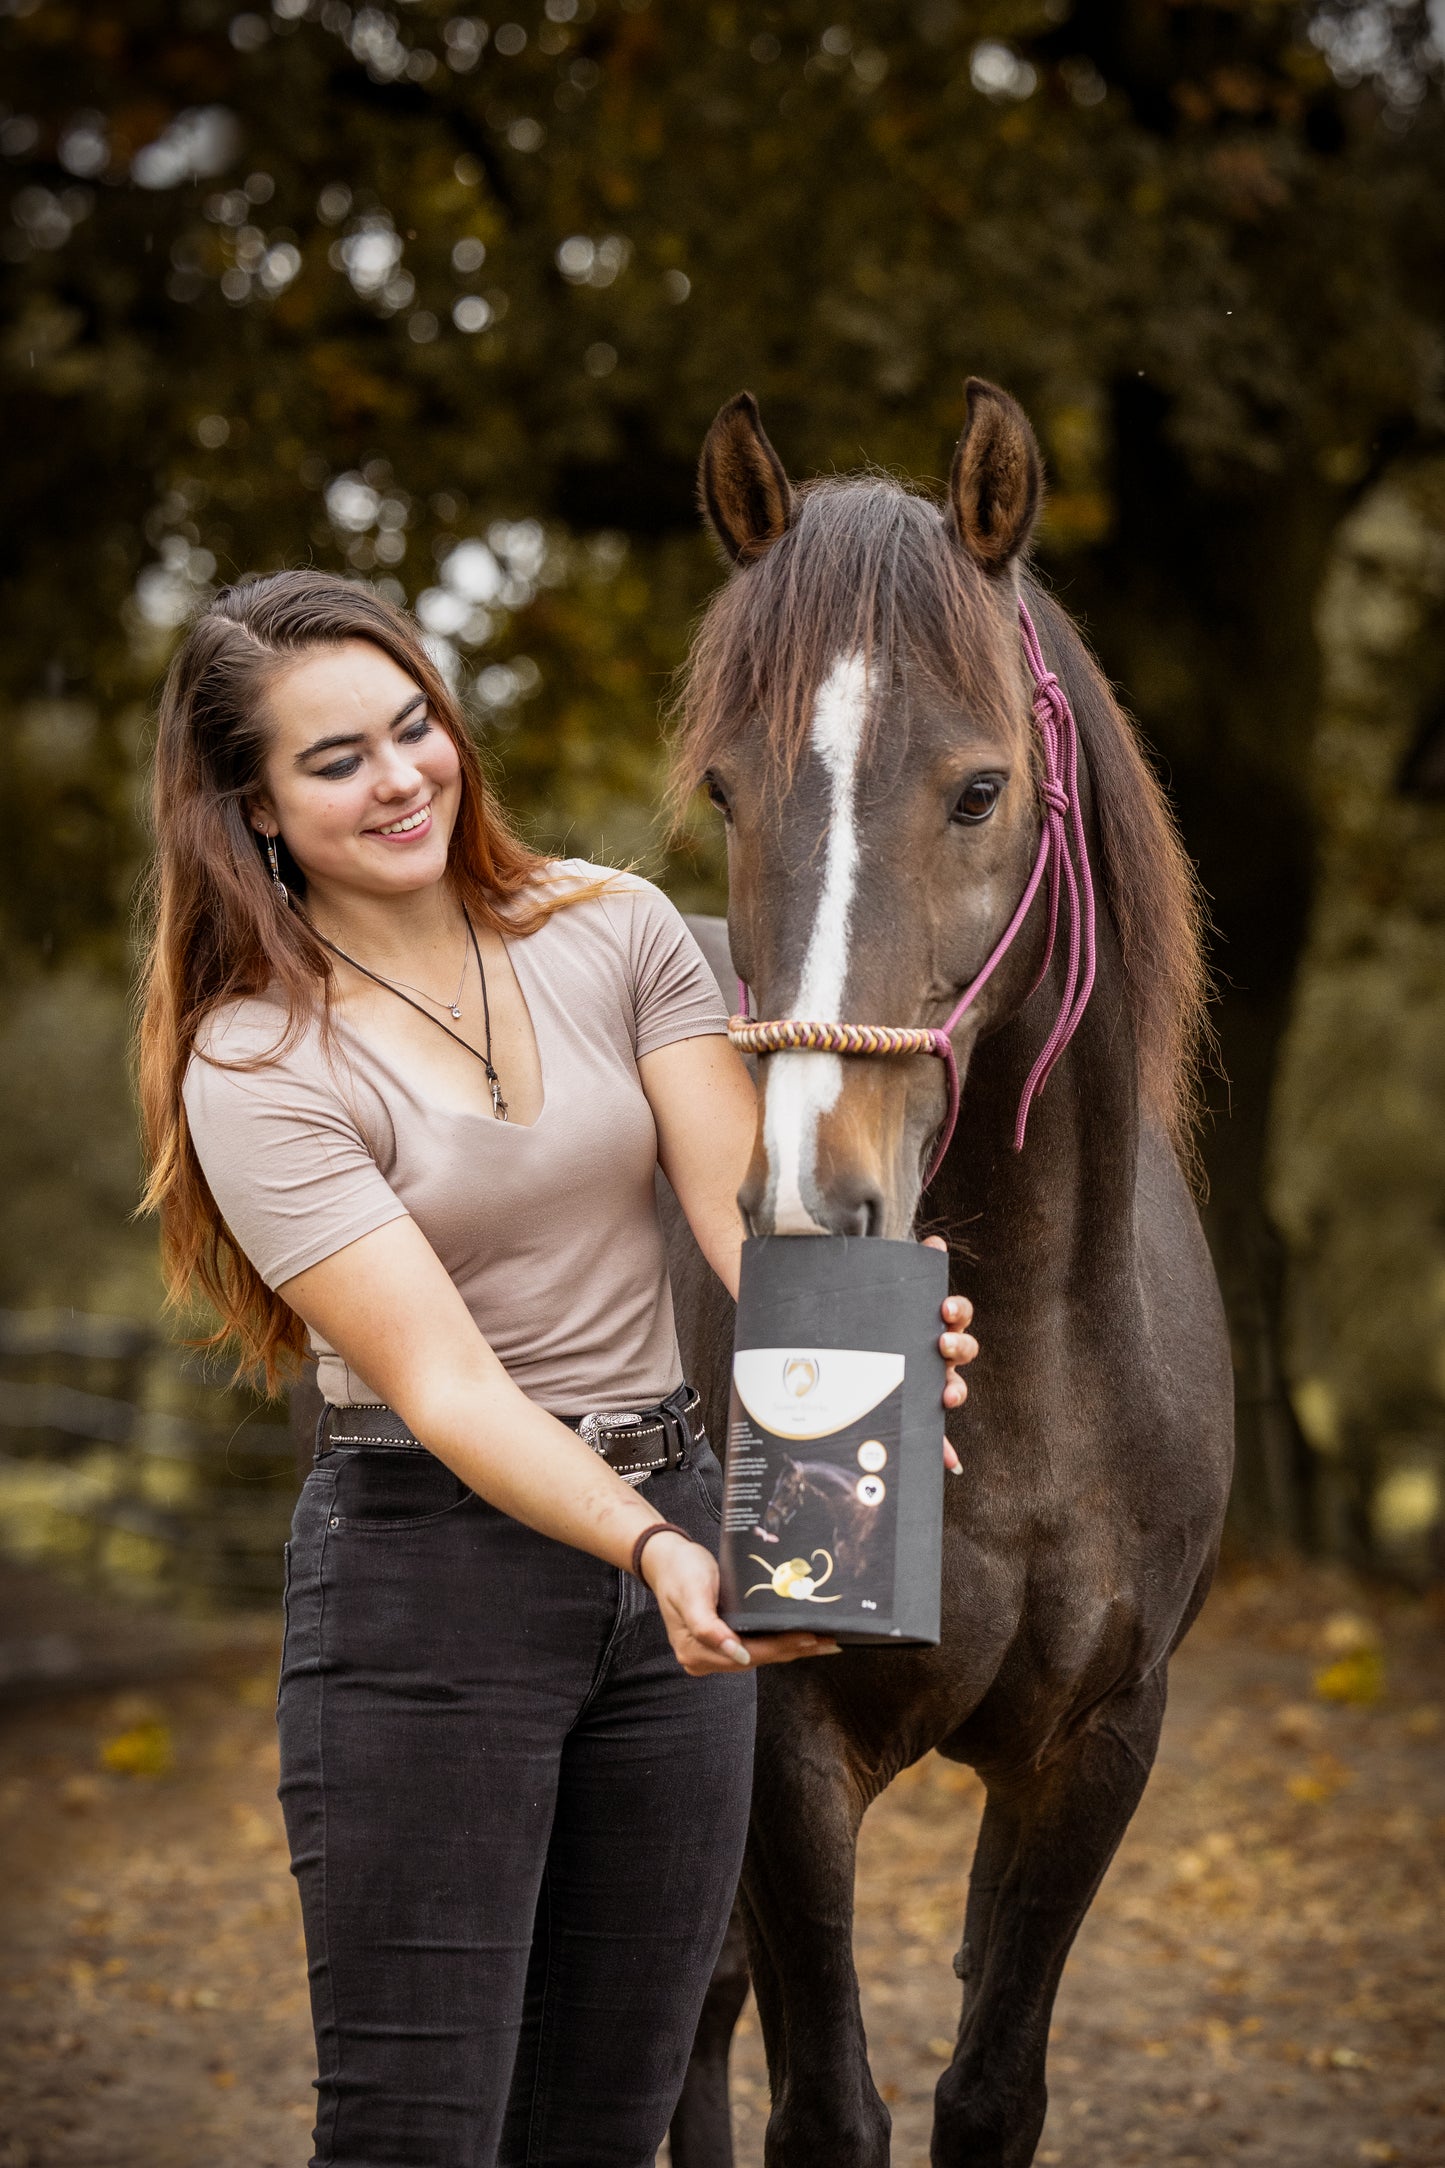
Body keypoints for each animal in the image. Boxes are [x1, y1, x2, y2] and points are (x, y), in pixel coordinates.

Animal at [661, 381, 1234, 2168]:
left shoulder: (1096, 1749)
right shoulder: (781, 1749)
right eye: (726, 792)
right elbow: (825, 2110)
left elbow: (990, 2091)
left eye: (979, 793)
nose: (805, 1192)